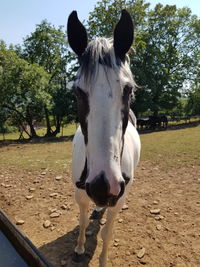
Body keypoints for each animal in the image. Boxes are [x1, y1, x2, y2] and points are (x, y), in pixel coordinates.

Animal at [67, 9, 141, 266]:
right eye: (78, 91)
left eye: (128, 90)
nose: (103, 186)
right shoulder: (80, 192)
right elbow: (81, 219)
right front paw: (79, 248)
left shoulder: (119, 198)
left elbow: (108, 233)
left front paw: (103, 259)